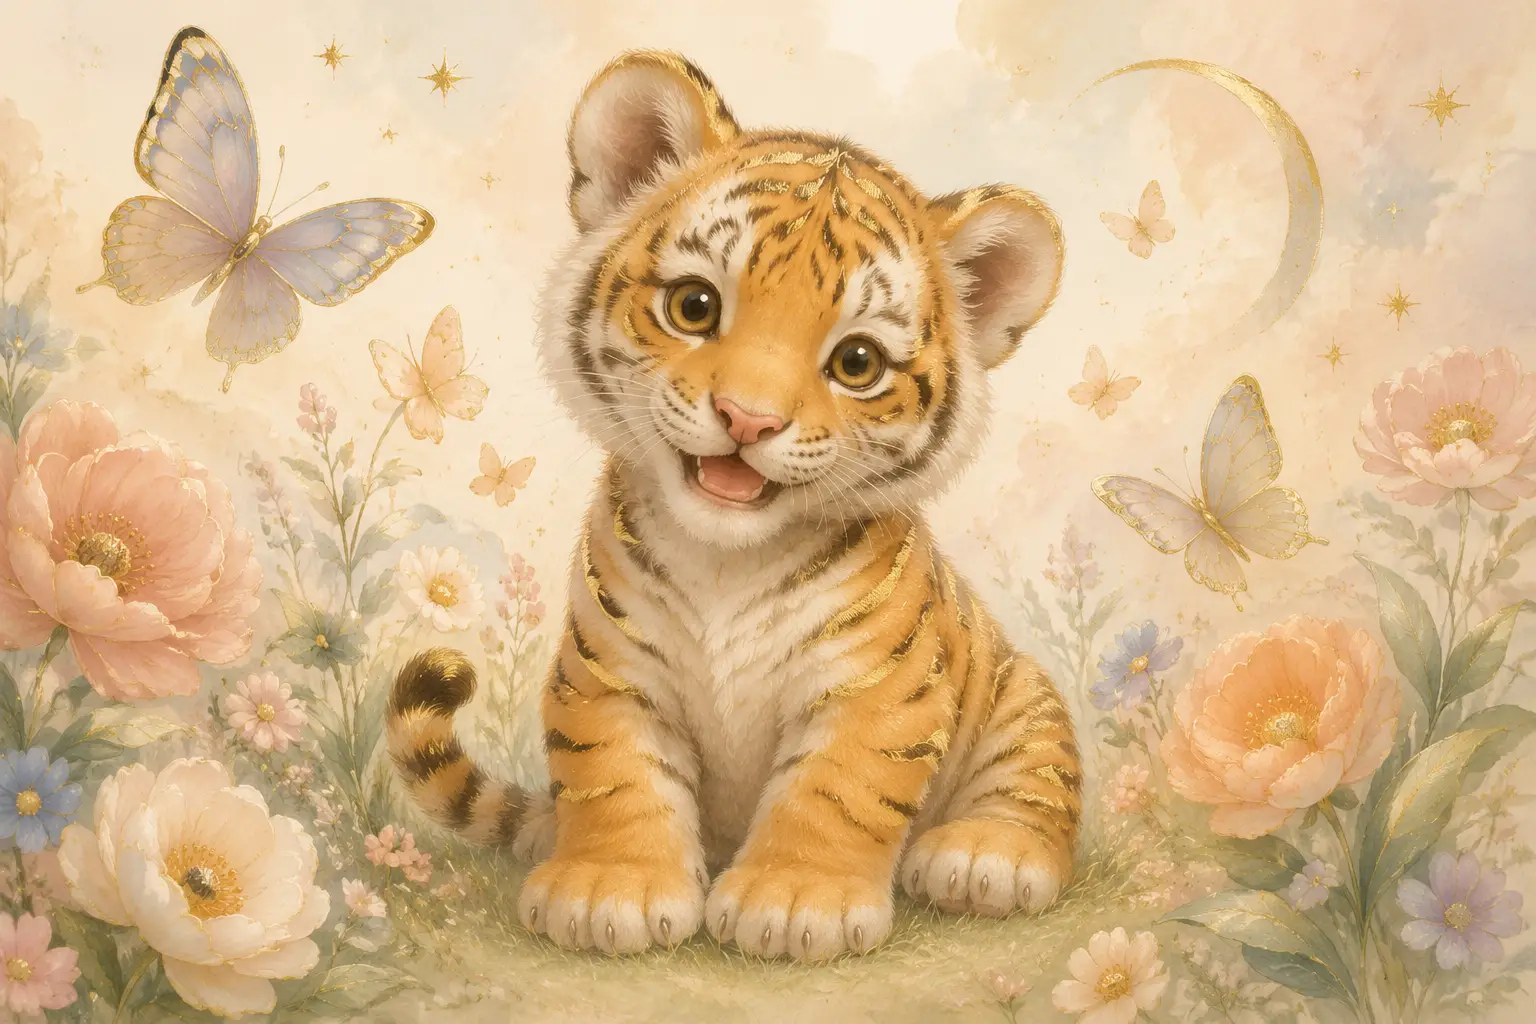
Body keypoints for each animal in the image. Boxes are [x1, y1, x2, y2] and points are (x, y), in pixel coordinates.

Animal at [387, 49, 1080, 962]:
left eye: (857, 362)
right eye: (695, 306)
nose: (748, 419)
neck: (727, 558)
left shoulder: (877, 688)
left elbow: (838, 788)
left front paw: (793, 902)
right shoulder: (608, 668)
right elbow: (612, 774)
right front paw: (608, 889)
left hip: (1021, 695)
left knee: (1037, 783)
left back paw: (984, 856)